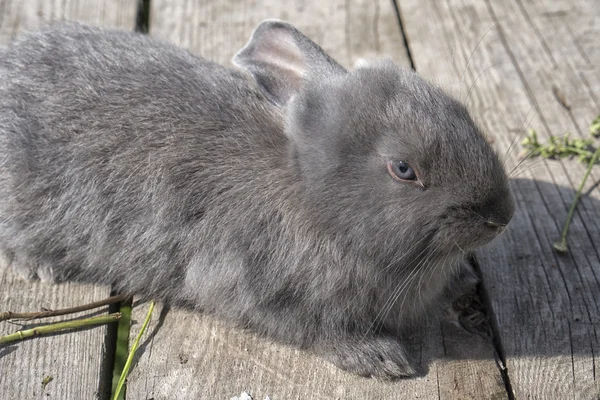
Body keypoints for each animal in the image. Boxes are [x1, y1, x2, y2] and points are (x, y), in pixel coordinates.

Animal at [0, 20, 512, 378]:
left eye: (462, 110)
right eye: (404, 169)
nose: (501, 216)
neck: (311, 195)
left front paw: (462, 279)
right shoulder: (249, 283)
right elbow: (312, 328)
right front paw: (379, 358)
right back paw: (39, 266)